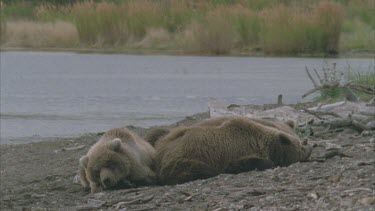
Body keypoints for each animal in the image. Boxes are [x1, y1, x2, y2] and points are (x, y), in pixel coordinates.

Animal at [153, 117, 312, 185]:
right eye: (300, 145)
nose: (310, 149)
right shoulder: (234, 152)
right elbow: (243, 163)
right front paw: (267, 163)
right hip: (182, 159)